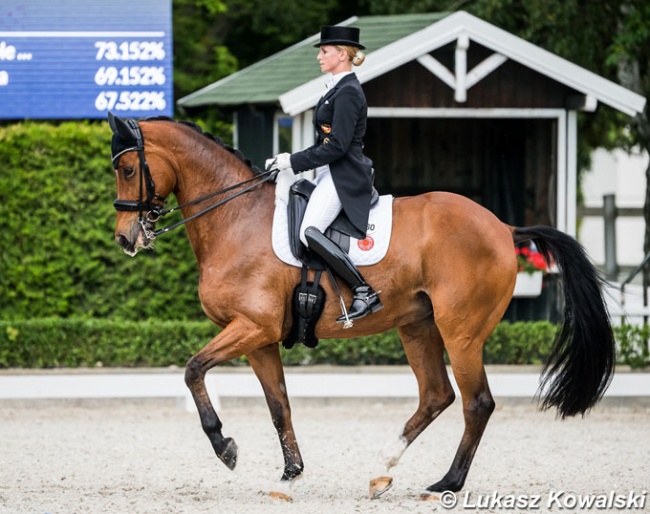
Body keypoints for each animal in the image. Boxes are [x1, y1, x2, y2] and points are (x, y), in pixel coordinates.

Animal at [106, 113, 612, 500]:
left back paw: (446, 482)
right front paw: (290, 474)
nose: (126, 239)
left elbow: (193, 369)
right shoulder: (259, 339)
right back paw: (383, 469)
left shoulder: (251, 327)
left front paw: (224, 446)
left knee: (477, 403)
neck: (235, 218)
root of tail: (504, 228)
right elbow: (279, 405)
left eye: (128, 169)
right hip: (418, 326)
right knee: (437, 395)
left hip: (461, 332)